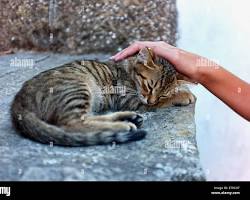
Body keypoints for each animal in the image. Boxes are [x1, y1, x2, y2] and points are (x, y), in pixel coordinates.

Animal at [11, 47, 195, 146]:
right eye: (150, 86)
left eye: (161, 93)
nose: (151, 99)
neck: (128, 70)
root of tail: (18, 100)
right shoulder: (131, 100)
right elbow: (161, 102)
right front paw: (184, 94)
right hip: (77, 89)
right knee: (73, 124)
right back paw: (123, 126)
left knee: (86, 119)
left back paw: (128, 119)